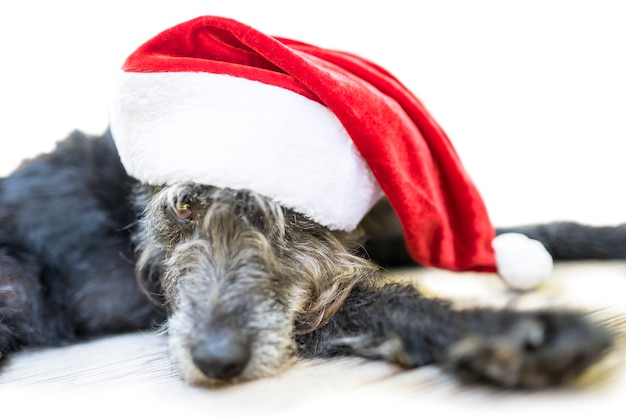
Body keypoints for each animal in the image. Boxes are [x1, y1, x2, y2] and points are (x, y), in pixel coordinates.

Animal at [0, 131, 616, 388]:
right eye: (183, 206)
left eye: (292, 211)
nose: (217, 360)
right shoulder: (312, 310)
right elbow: (384, 303)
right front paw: (511, 334)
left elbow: (522, 233)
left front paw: (610, 236)